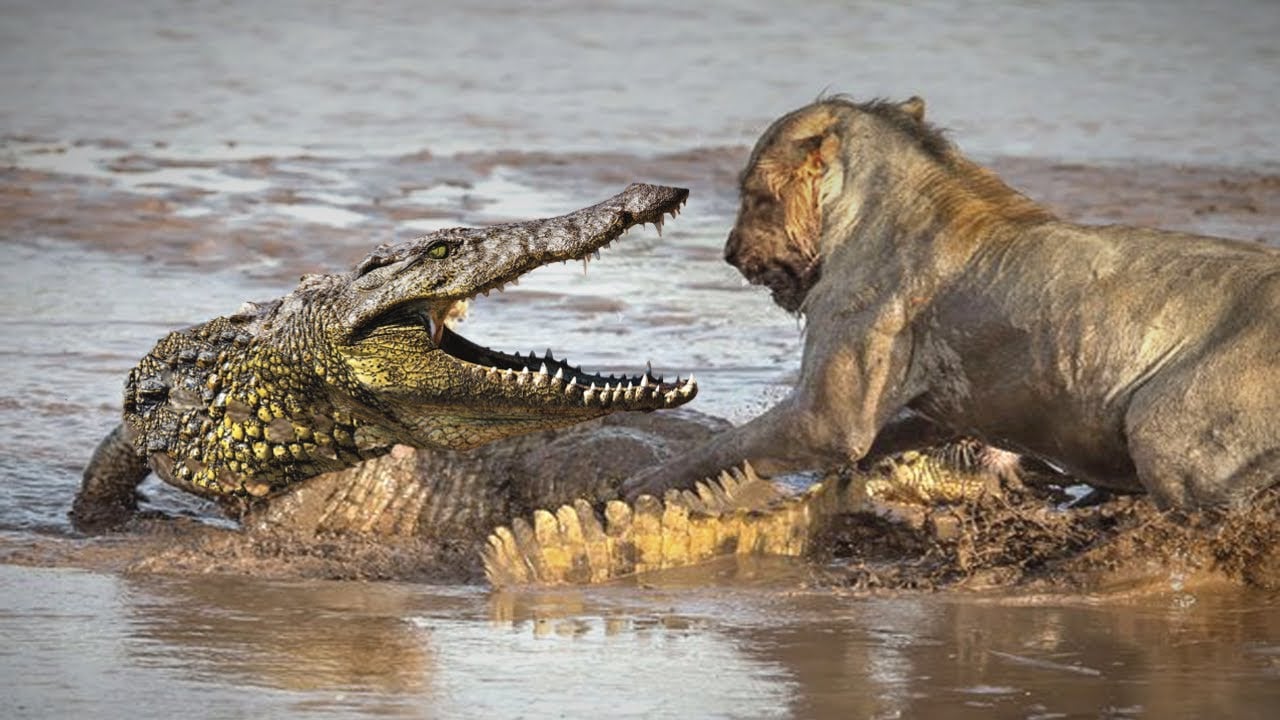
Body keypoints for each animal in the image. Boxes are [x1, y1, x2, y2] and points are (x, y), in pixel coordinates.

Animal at [626, 95, 1280, 509]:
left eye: (755, 195)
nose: (731, 252)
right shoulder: (937, 405)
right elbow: (891, 437)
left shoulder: (829, 415)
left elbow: (725, 447)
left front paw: (637, 485)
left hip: (1168, 437)